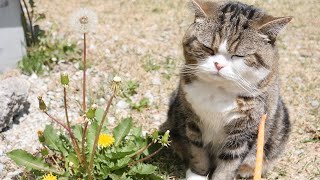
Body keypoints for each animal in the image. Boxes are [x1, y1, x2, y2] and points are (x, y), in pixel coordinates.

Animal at [161, 0, 292, 179]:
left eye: (238, 56)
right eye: (208, 48)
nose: (218, 65)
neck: (218, 91)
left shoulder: (245, 132)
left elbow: (230, 162)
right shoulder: (191, 119)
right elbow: (197, 151)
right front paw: (197, 174)